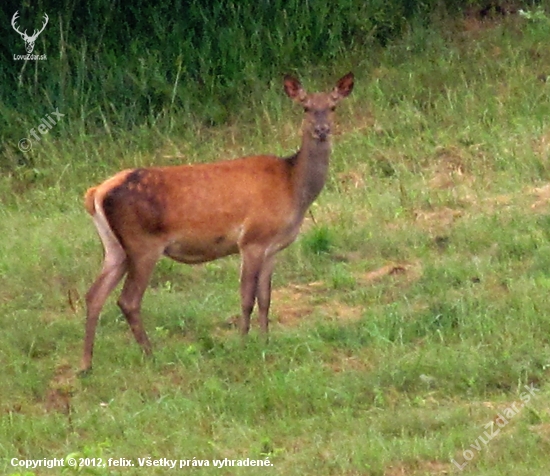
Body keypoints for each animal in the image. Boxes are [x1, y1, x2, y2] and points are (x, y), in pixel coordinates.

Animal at [82, 72, 358, 374]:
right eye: (306, 107)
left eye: (333, 106)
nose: (322, 129)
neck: (293, 187)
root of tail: (96, 192)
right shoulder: (252, 239)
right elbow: (247, 297)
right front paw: (243, 344)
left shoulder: (273, 247)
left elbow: (266, 298)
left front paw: (265, 341)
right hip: (143, 243)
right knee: (128, 299)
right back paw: (150, 354)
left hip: (115, 247)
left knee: (94, 294)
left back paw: (86, 364)